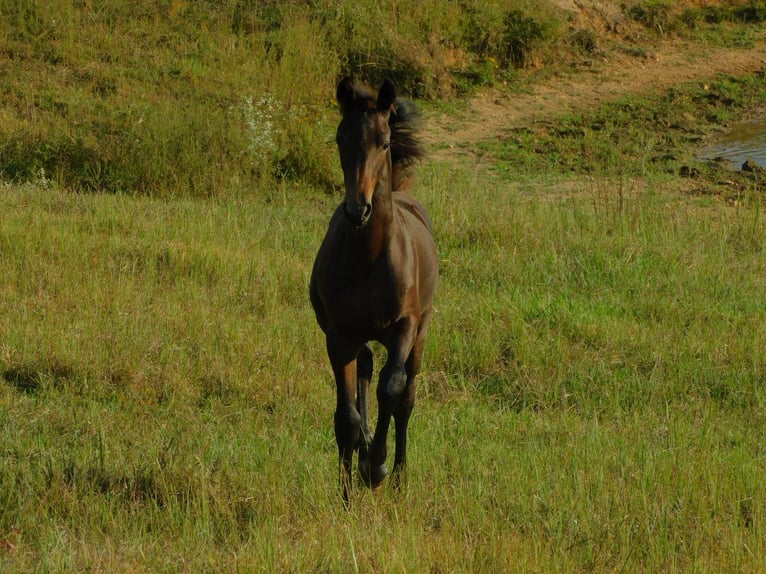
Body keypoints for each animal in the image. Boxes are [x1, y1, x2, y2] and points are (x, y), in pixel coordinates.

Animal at [309, 77, 438, 501]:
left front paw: (377, 466)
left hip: (421, 331)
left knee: (407, 396)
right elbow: (345, 417)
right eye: (340, 138)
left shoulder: (403, 326)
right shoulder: (339, 335)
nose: (357, 209)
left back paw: (397, 474)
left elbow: (392, 388)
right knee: (365, 367)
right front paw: (348, 491)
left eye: (383, 142)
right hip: (358, 336)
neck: (369, 257)